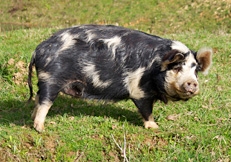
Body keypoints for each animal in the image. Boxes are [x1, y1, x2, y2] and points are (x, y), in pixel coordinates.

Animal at [27, 24, 213, 132]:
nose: (192, 83)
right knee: (45, 101)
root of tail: (38, 50)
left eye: (195, 70)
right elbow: (146, 110)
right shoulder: (140, 90)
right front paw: (155, 127)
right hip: (51, 78)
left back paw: (32, 118)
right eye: (177, 67)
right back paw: (40, 128)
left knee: (37, 97)